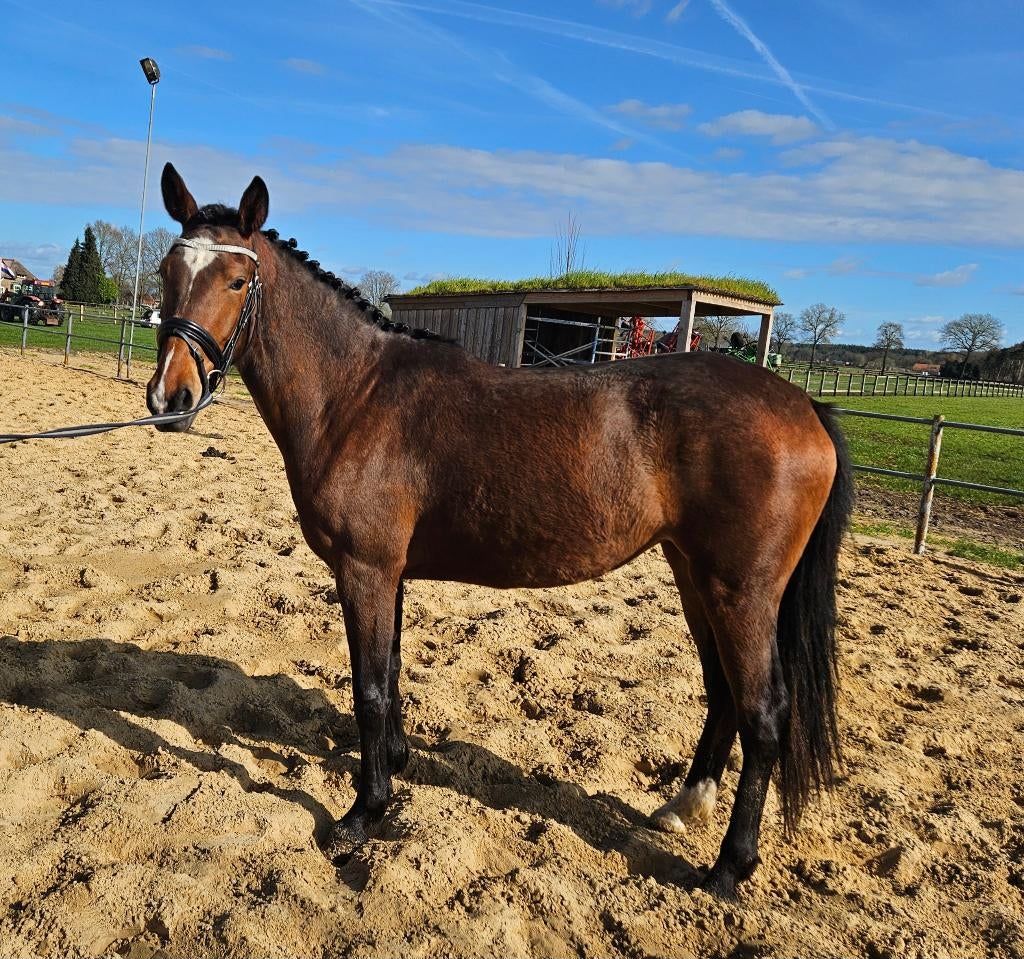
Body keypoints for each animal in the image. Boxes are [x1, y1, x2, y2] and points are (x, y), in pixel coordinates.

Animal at [147, 163, 853, 899]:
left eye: (236, 279)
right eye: (168, 269)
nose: (170, 399)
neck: (357, 395)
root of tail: (804, 406)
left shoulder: (365, 569)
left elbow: (368, 688)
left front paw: (363, 812)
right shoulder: (389, 573)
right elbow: (390, 671)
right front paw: (398, 761)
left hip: (742, 591)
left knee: (764, 714)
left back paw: (728, 867)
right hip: (695, 574)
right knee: (723, 693)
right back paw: (684, 808)